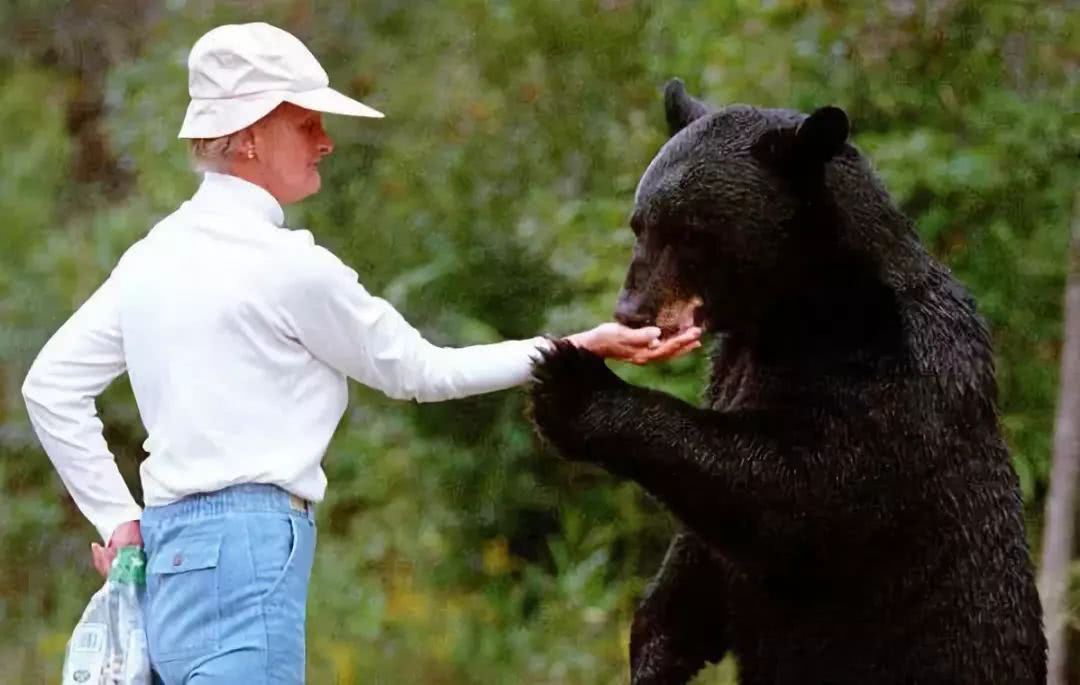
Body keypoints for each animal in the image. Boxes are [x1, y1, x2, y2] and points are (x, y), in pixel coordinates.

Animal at [529, 81, 1045, 682]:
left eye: (692, 235)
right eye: (641, 225)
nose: (631, 312)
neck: (797, 307)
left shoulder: (885, 370)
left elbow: (795, 492)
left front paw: (572, 385)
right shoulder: (732, 363)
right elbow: (704, 551)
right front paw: (656, 645)